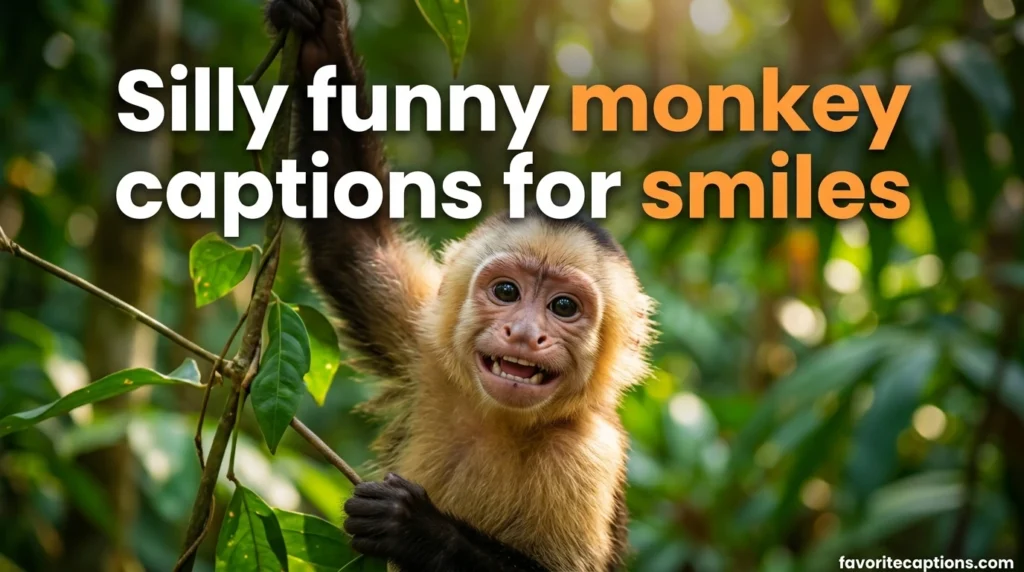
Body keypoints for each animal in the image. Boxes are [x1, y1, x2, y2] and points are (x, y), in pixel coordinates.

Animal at [265, 0, 656, 570]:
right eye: (507, 293)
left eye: (563, 306)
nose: (524, 334)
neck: (500, 420)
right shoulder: (429, 350)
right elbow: (352, 243)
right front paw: (319, 33)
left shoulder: (588, 454)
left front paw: (417, 528)